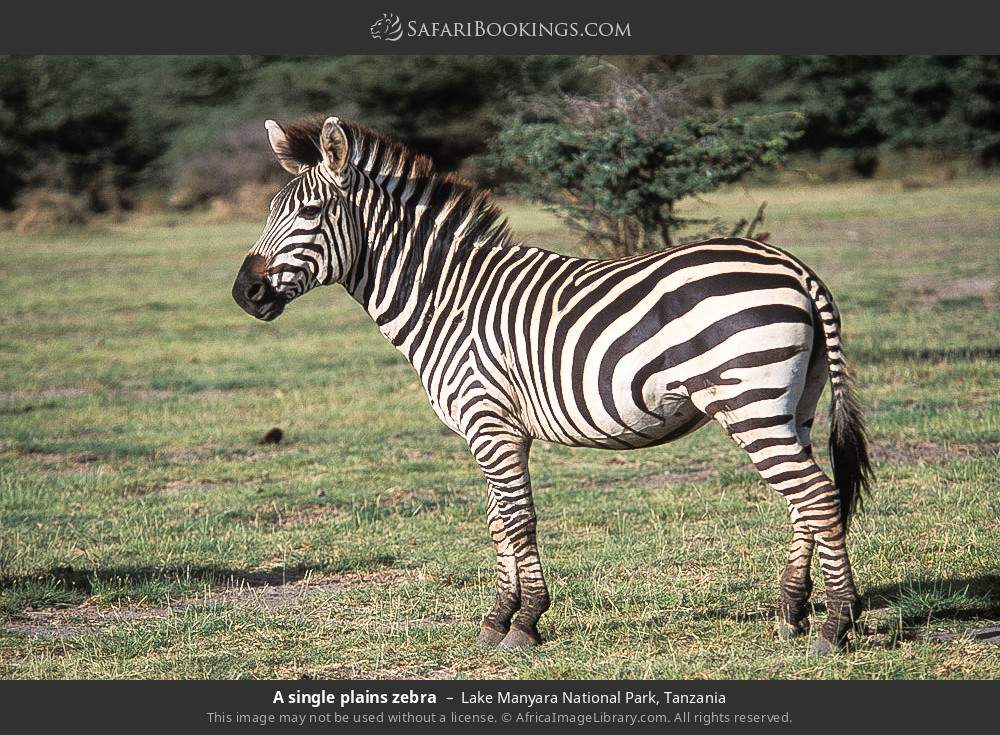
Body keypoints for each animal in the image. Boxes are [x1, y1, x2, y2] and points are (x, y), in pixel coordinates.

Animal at [232, 116, 873, 654]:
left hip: (749, 401)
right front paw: (498, 618)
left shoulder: (488, 421)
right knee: (804, 501)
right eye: (270, 211)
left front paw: (524, 622)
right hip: (793, 404)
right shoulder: (497, 431)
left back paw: (836, 624)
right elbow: (498, 520)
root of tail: (794, 267)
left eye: (311, 211)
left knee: (817, 497)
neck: (445, 298)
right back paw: (792, 614)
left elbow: (518, 518)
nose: (245, 294)